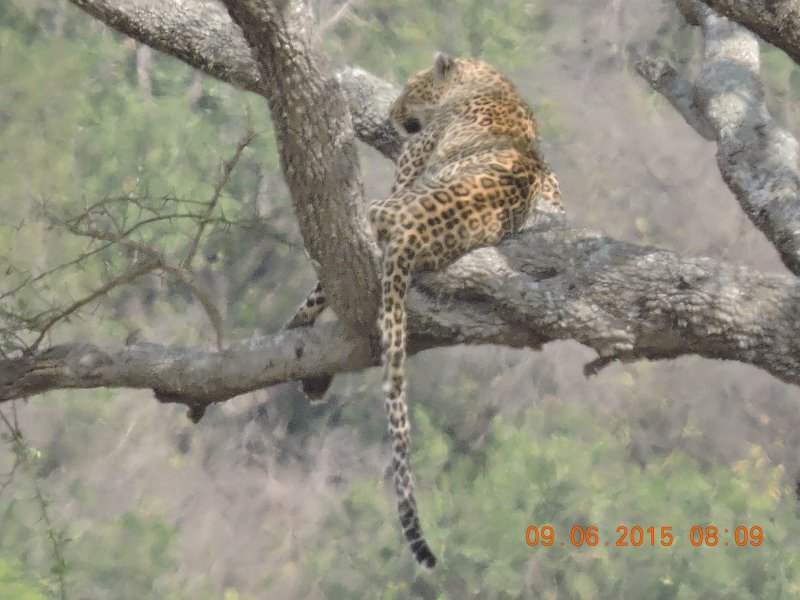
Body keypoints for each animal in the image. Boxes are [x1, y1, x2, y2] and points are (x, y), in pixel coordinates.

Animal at [284, 54, 563, 568]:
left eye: (412, 89)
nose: (393, 114)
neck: (493, 83)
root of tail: (416, 231)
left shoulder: (410, 166)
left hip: (379, 209)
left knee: (322, 287)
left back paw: (300, 344)